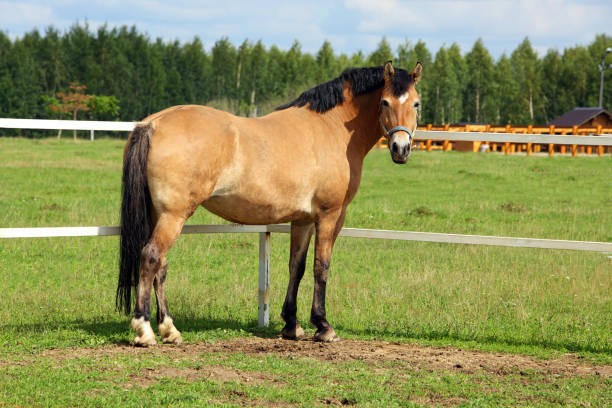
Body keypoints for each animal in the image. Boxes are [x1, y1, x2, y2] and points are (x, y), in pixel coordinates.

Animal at [117, 60, 424, 346]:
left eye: (416, 103)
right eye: (384, 102)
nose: (400, 149)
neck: (331, 127)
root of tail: (154, 123)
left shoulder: (302, 219)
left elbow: (296, 267)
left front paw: (291, 324)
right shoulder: (331, 215)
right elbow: (321, 266)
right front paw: (323, 325)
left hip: (159, 215)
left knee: (161, 267)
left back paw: (169, 330)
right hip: (173, 216)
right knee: (151, 257)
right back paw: (145, 330)